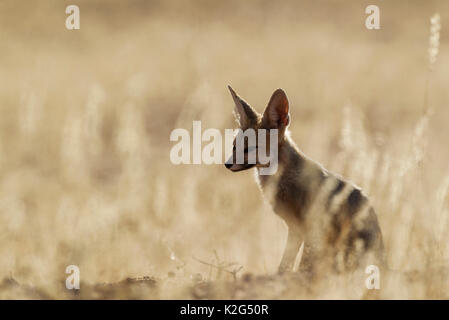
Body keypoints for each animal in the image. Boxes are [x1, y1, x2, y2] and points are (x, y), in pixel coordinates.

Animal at [224, 85, 382, 276]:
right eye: (234, 146)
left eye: (250, 148)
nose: (227, 164)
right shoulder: (295, 228)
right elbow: (286, 263)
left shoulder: (308, 227)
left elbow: (300, 264)